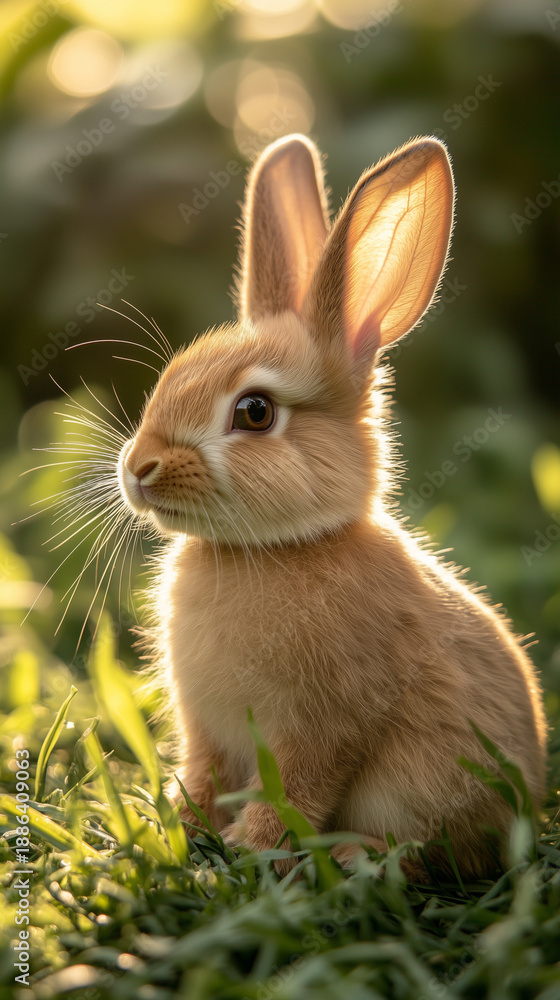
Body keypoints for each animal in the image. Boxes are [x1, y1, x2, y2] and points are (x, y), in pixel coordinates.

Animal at [117, 133, 547, 879]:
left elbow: (296, 791)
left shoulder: (322, 729)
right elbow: (202, 777)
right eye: (171, 379)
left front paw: (247, 852)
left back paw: (354, 855)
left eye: (255, 412)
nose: (138, 470)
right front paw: (179, 828)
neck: (275, 549)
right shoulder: (207, 732)